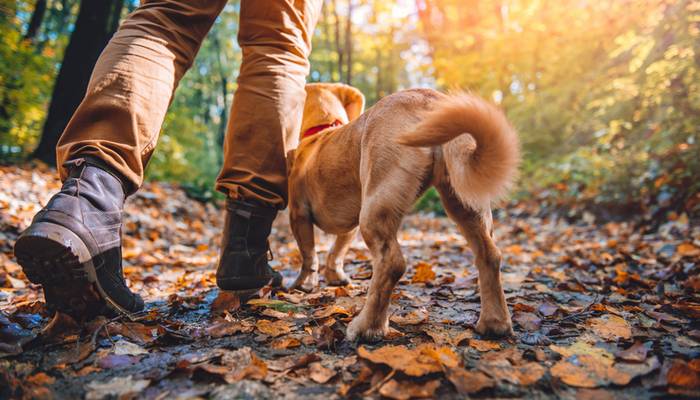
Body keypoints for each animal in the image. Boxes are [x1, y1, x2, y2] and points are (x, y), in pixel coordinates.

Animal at [286, 83, 520, 342]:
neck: (322, 132)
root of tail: (429, 99)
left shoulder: (298, 214)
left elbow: (309, 255)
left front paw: (304, 283)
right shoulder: (348, 227)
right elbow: (337, 251)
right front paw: (335, 276)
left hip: (375, 207)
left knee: (392, 263)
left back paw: (367, 327)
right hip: (465, 204)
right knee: (490, 256)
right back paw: (494, 323)